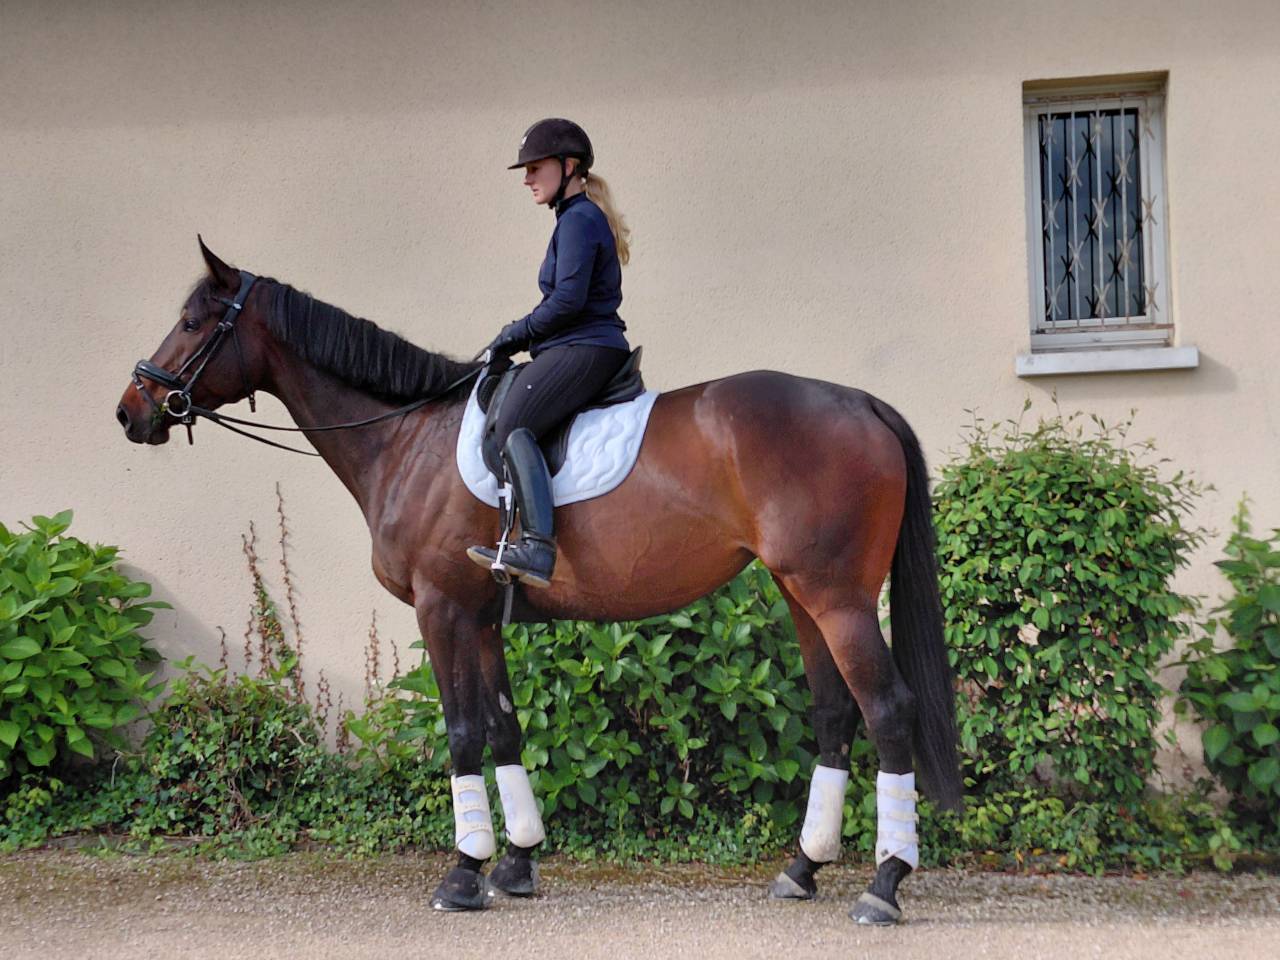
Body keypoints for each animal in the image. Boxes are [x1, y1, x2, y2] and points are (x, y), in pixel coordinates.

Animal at [116, 239, 962, 925]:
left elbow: (462, 732)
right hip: (801, 595)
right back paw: (802, 869)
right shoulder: (482, 615)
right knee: (835, 715)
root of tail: (860, 402)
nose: (132, 411)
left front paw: (463, 874)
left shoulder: (442, 609)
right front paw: (517, 863)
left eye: (193, 321)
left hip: (838, 598)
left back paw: (883, 885)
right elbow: (503, 728)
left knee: (888, 711)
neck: (405, 437)